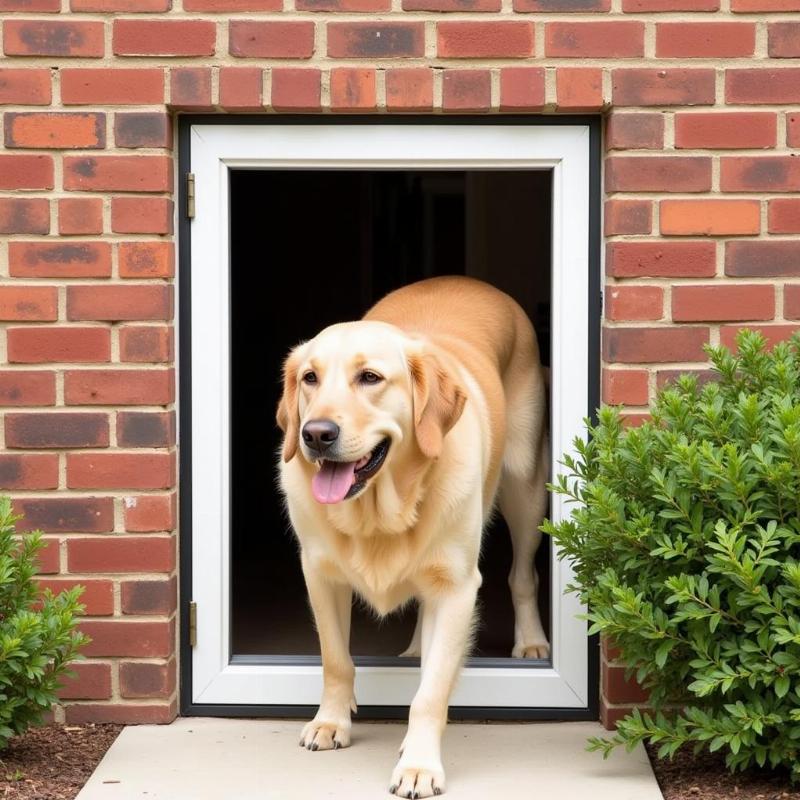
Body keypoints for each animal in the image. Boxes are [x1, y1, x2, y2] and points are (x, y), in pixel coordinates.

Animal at [276, 276, 552, 800]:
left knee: (522, 576)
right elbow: (336, 660)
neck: (379, 511)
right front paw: (330, 723)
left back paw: (531, 642)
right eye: (310, 378)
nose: (315, 433)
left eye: (370, 377)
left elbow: (430, 694)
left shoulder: (458, 588)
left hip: (524, 485)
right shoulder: (320, 575)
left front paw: (420, 764)